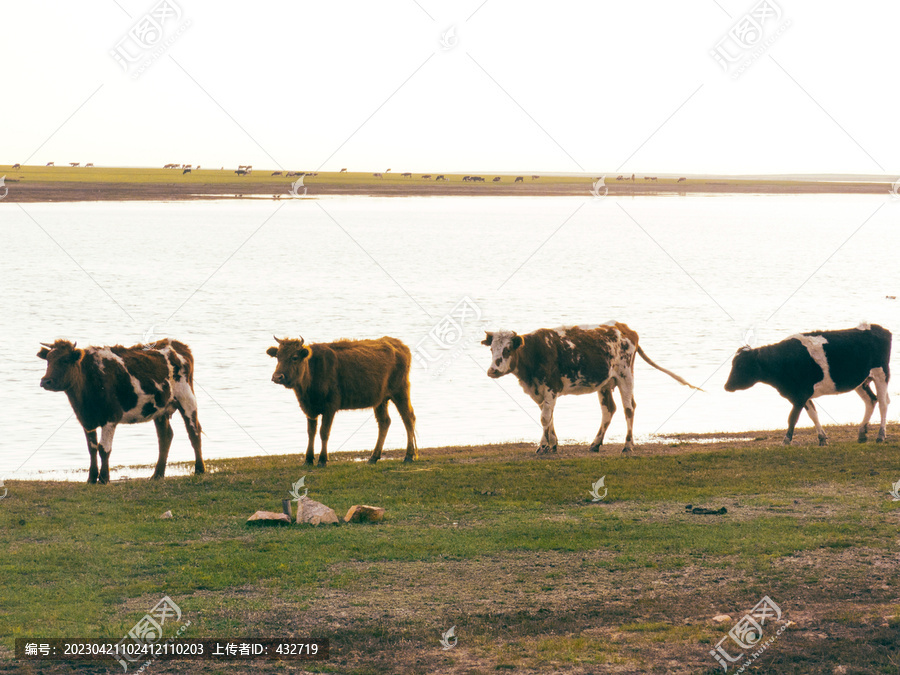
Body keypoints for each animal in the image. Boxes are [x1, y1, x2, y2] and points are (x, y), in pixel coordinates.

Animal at [37, 340, 205, 484]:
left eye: (65, 360)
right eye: (48, 360)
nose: (45, 381)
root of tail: (175, 343)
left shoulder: (110, 418)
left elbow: (104, 449)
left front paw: (104, 478)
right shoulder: (86, 420)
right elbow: (92, 449)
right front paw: (91, 478)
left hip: (187, 399)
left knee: (194, 431)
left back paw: (199, 469)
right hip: (160, 409)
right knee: (165, 437)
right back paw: (157, 474)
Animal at [482, 324, 700, 454]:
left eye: (507, 350)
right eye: (492, 349)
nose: (492, 370)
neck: (535, 352)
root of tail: (622, 327)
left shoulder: (551, 388)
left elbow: (544, 418)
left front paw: (543, 446)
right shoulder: (539, 393)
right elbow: (549, 417)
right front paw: (553, 444)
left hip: (625, 376)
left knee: (629, 408)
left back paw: (628, 445)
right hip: (605, 384)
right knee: (609, 410)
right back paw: (596, 443)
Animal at [724, 324, 892, 446]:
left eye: (741, 365)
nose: (727, 386)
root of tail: (876, 327)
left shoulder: (800, 394)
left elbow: (792, 418)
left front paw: (786, 441)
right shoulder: (801, 394)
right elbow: (813, 414)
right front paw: (822, 438)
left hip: (881, 374)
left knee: (883, 403)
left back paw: (880, 436)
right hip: (861, 381)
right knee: (870, 400)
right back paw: (862, 433)